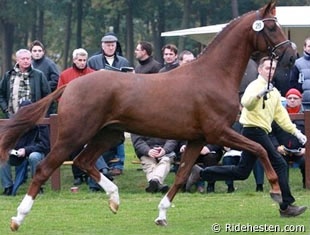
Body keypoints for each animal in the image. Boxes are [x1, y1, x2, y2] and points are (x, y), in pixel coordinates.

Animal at [0, 0, 296, 231]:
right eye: (271, 27)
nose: (291, 56)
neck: (212, 75)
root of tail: (69, 85)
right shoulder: (219, 132)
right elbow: (260, 148)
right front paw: (276, 192)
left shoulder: (198, 139)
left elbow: (181, 175)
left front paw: (162, 215)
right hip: (74, 135)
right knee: (44, 168)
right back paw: (17, 219)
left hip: (108, 134)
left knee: (83, 161)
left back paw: (115, 200)